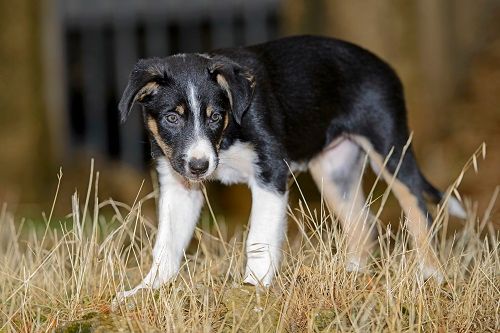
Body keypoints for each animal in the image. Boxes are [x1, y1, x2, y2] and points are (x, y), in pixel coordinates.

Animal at [115, 35, 466, 300]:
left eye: (215, 116)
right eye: (171, 118)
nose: (200, 166)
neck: (228, 136)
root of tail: (385, 67)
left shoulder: (270, 172)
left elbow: (259, 238)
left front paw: (253, 288)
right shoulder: (179, 184)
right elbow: (168, 243)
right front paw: (145, 290)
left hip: (390, 147)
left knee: (418, 210)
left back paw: (432, 275)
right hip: (335, 173)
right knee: (362, 224)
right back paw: (352, 277)